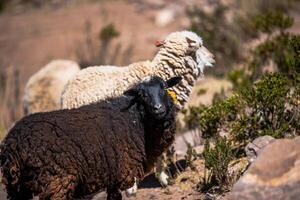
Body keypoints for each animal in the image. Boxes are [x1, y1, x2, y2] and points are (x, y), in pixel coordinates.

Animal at [0, 75, 182, 200]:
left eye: (164, 87)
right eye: (142, 94)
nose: (159, 108)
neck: (135, 119)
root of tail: (13, 143)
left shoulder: (113, 177)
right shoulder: (122, 173)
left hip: (17, 187)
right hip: (56, 182)